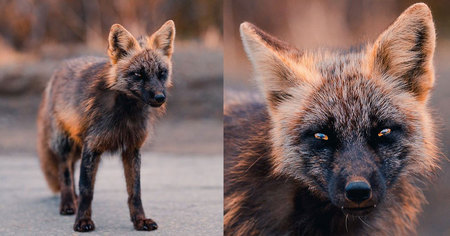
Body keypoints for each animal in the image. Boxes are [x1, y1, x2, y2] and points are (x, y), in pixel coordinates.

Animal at [36, 20, 176, 232]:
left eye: (162, 74)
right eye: (138, 75)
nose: (160, 97)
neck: (125, 114)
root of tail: (59, 69)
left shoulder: (132, 149)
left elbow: (135, 192)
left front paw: (140, 220)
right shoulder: (92, 147)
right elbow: (87, 190)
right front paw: (82, 221)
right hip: (65, 145)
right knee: (65, 173)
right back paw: (68, 203)